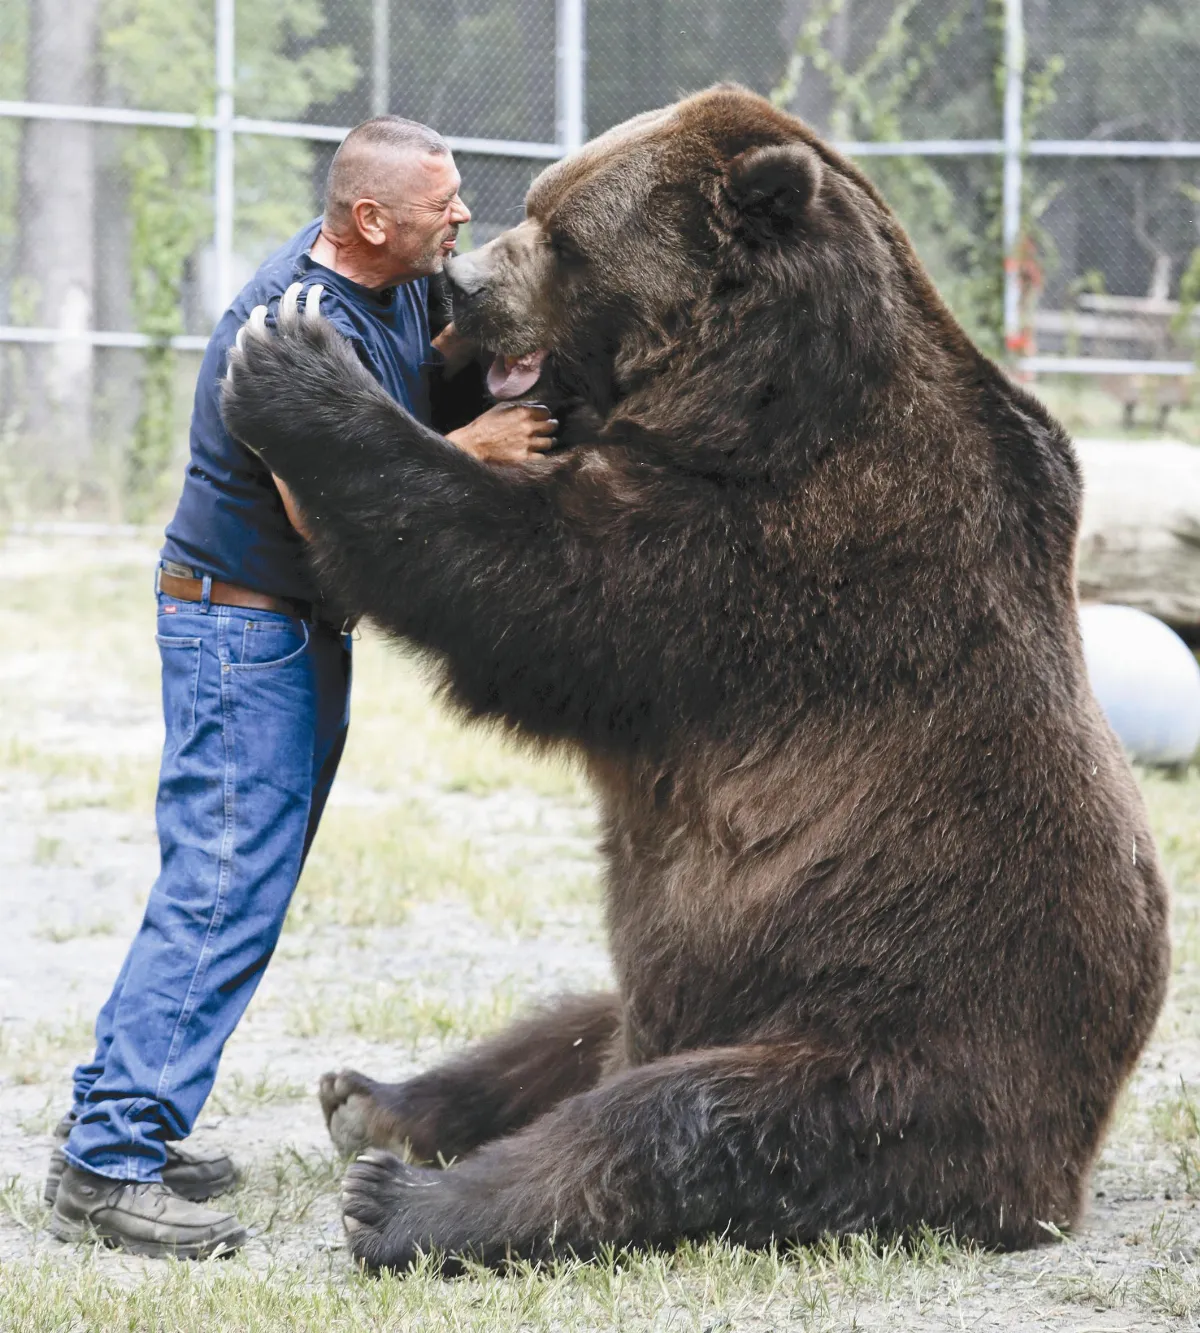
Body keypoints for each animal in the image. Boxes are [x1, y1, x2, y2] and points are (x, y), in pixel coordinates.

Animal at [220, 85, 1170, 1272]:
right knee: (568, 1024)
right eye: (536, 206)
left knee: (687, 1120)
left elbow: (537, 586)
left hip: (899, 1033)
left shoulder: (775, 554)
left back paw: (401, 1200)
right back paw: (375, 1097)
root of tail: (1078, 1149)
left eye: (565, 237)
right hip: (680, 1003)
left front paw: (296, 366)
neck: (753, 397)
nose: (463, 283)